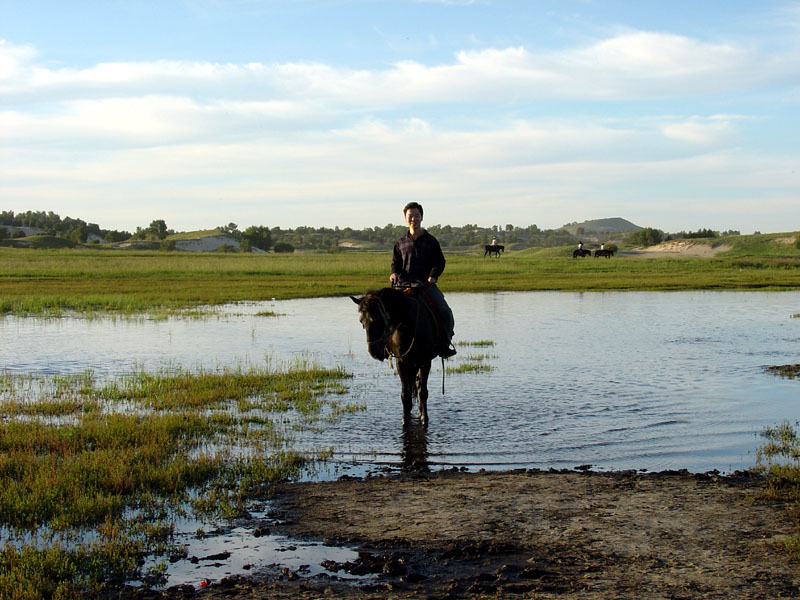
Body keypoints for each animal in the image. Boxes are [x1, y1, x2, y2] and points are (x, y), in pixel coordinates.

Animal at [350, 288, 438, 424]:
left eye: (377, 320)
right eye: (361, 321)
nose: (374, 351)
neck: (409, 325)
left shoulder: (425, 361)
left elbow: (423, 392)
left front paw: (424, 419)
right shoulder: (401, 362)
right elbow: (405, 395)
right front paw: (405, 420)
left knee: (418, 386)